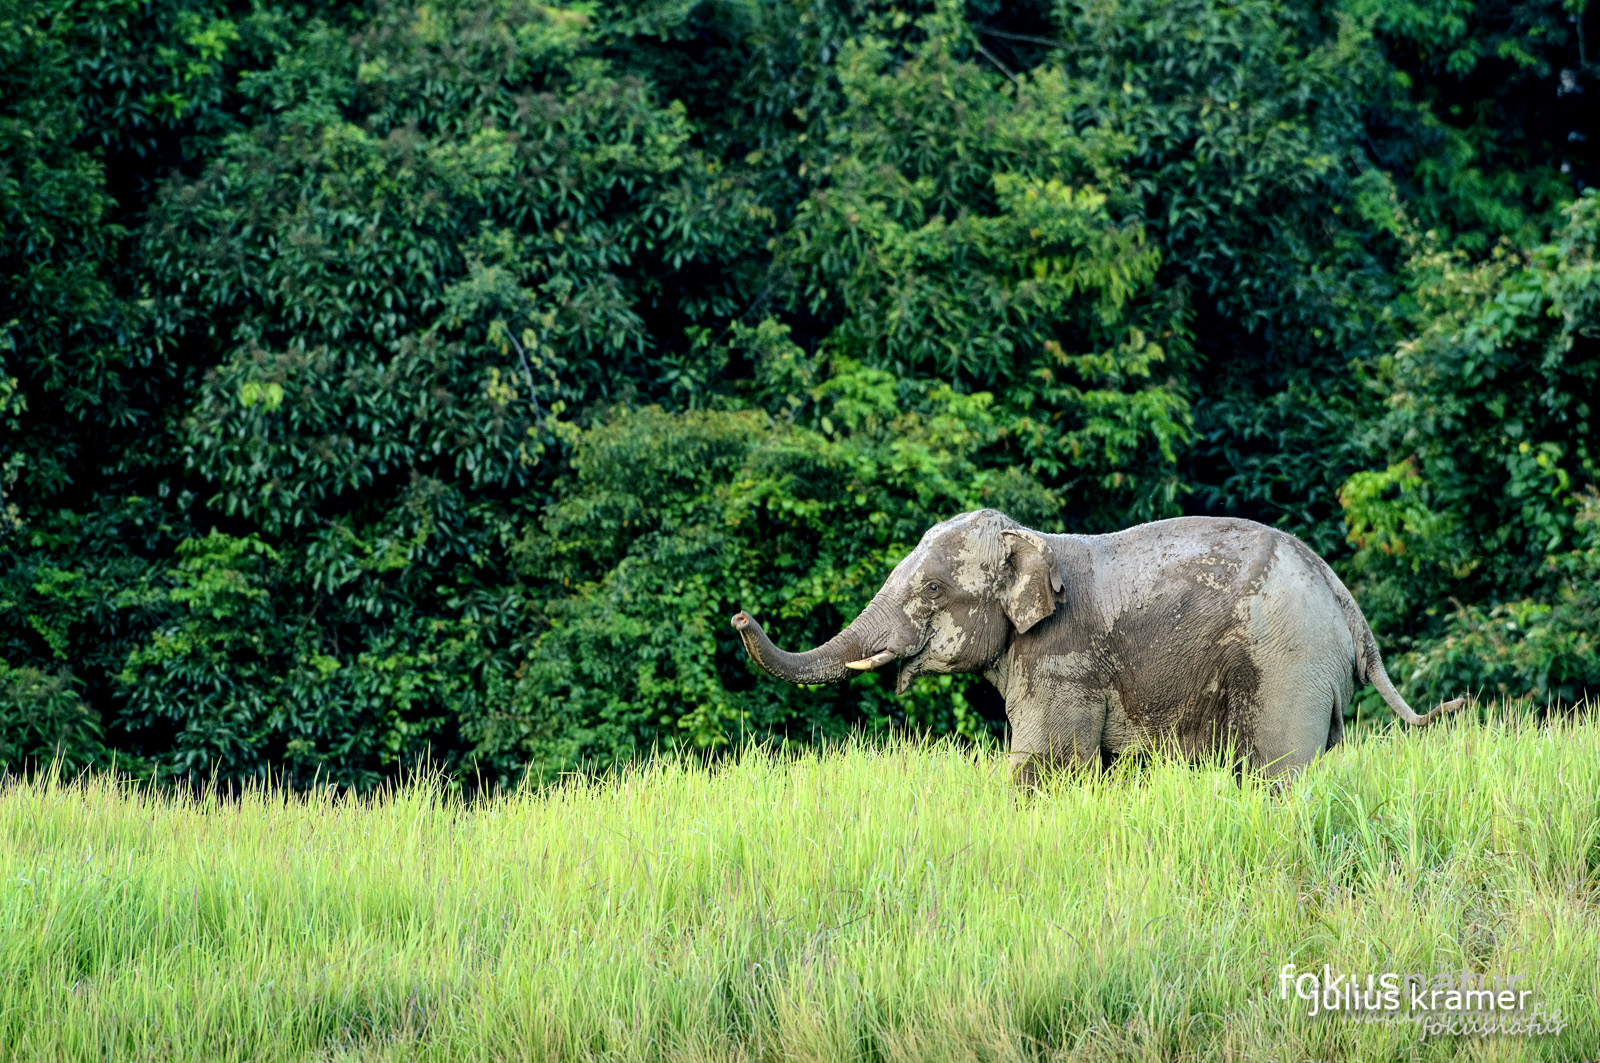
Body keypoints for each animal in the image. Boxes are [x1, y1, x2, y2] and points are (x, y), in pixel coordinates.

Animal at [732, 505, 1465, 781]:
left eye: (933, 589)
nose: (738, 617)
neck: (1034, 540)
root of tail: (1347, 604)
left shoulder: (1061, 659)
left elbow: (1044, 762)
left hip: (1287, 661)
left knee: (1278, 770)